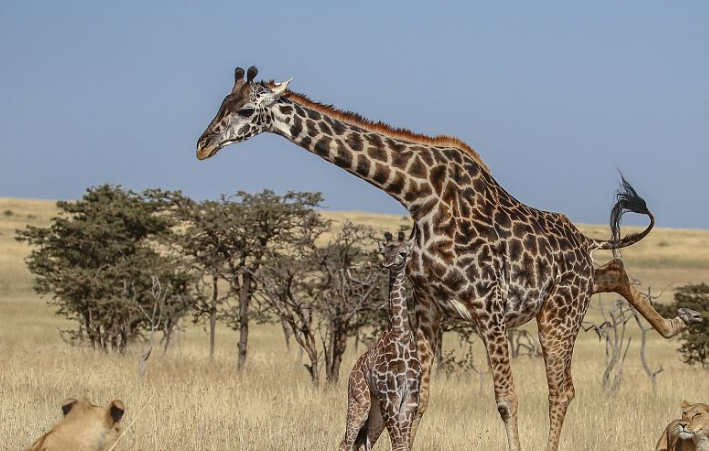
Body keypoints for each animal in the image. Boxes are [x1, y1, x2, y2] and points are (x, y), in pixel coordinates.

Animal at [342, 231, 424, 450]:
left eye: (403, 253)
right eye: (383, 251)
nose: (387, 262)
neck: (400, 336)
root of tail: (353, 371)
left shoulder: (411, 398)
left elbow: (403, 444)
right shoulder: (390, 396)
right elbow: (398, 444)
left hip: (375, 411)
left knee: (364, 443)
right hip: (360, 402)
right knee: (346, 442)